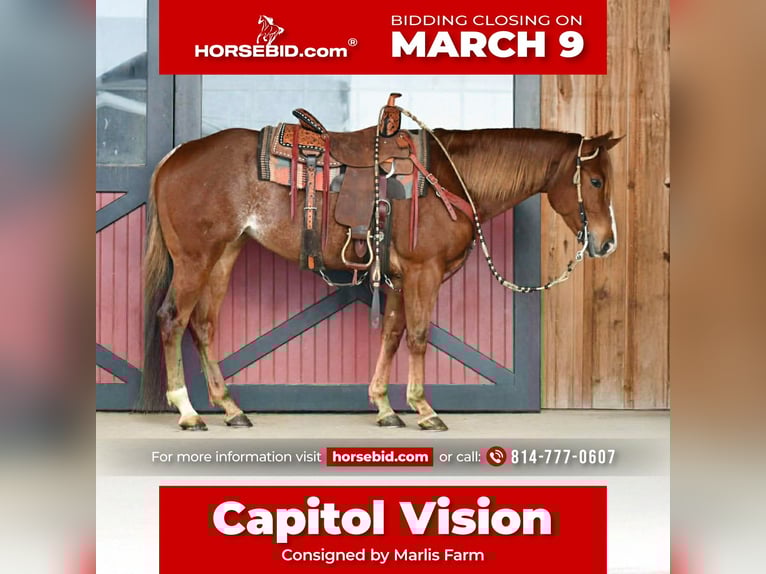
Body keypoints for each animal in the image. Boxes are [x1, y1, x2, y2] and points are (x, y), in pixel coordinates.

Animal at [140, 116, 622, 431]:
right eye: (596, 182)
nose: (607, 243)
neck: (450, 179)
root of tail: (176, 155)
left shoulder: (398, 279)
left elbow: (391, 333)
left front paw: (386, 407)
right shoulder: (424, 272)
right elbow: (418, 336)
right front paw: (424, 410)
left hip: (224, 254)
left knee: (202, 325)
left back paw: (231, 408)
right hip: (195, 259)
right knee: (172, 320)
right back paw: (188, 411)